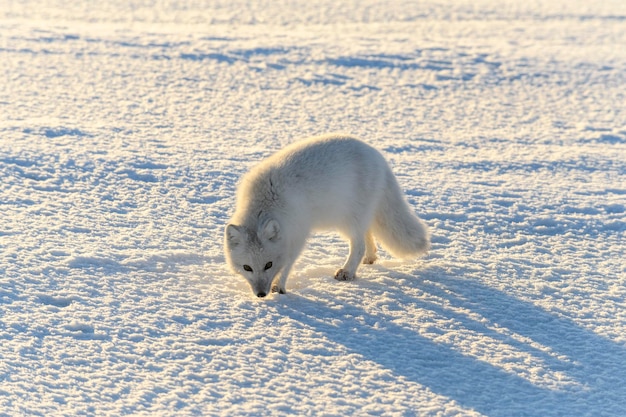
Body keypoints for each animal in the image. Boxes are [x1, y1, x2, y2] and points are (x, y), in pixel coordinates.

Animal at [224, 133, 428, 296]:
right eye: (247, 267)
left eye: (268, 264)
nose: (260, 294)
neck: (265, 202)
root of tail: (377, 156)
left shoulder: (297, 234)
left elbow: (287, 263)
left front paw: (278, 288)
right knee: (368, 235)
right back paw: (370, 259)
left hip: (349, 219)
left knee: (359, 245)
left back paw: (348, 272)